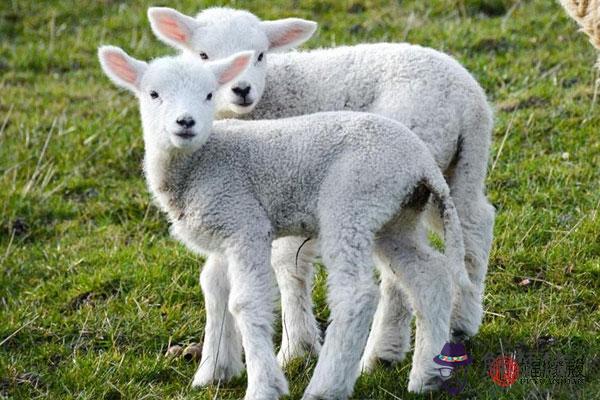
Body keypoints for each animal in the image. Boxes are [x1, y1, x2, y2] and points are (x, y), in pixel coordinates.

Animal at [99, 46, 478, 396]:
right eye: (153, 94)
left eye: (208, 94)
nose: (186, 123)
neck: (200, 162)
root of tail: (422, 163)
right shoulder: (223, 230)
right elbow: (214, 288)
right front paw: (214, 371)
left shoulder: (244, 221)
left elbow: (245, 302)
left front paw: (263, 385)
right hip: (394, 217)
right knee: (430, 275)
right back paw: (428, 376)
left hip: (351, 201)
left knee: (356, 294)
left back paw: (327, 386)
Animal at [148, 5, 494, 368]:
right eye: (203, 55)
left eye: (260, 55)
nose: (241, 89)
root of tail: (464, 97)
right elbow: (219, 275)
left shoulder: (288, 184)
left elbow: (288, 263)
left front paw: (295, 347)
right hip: (462, 164)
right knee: (474, 222)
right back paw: (462, 320)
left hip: (400, 163)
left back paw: (382, 350)